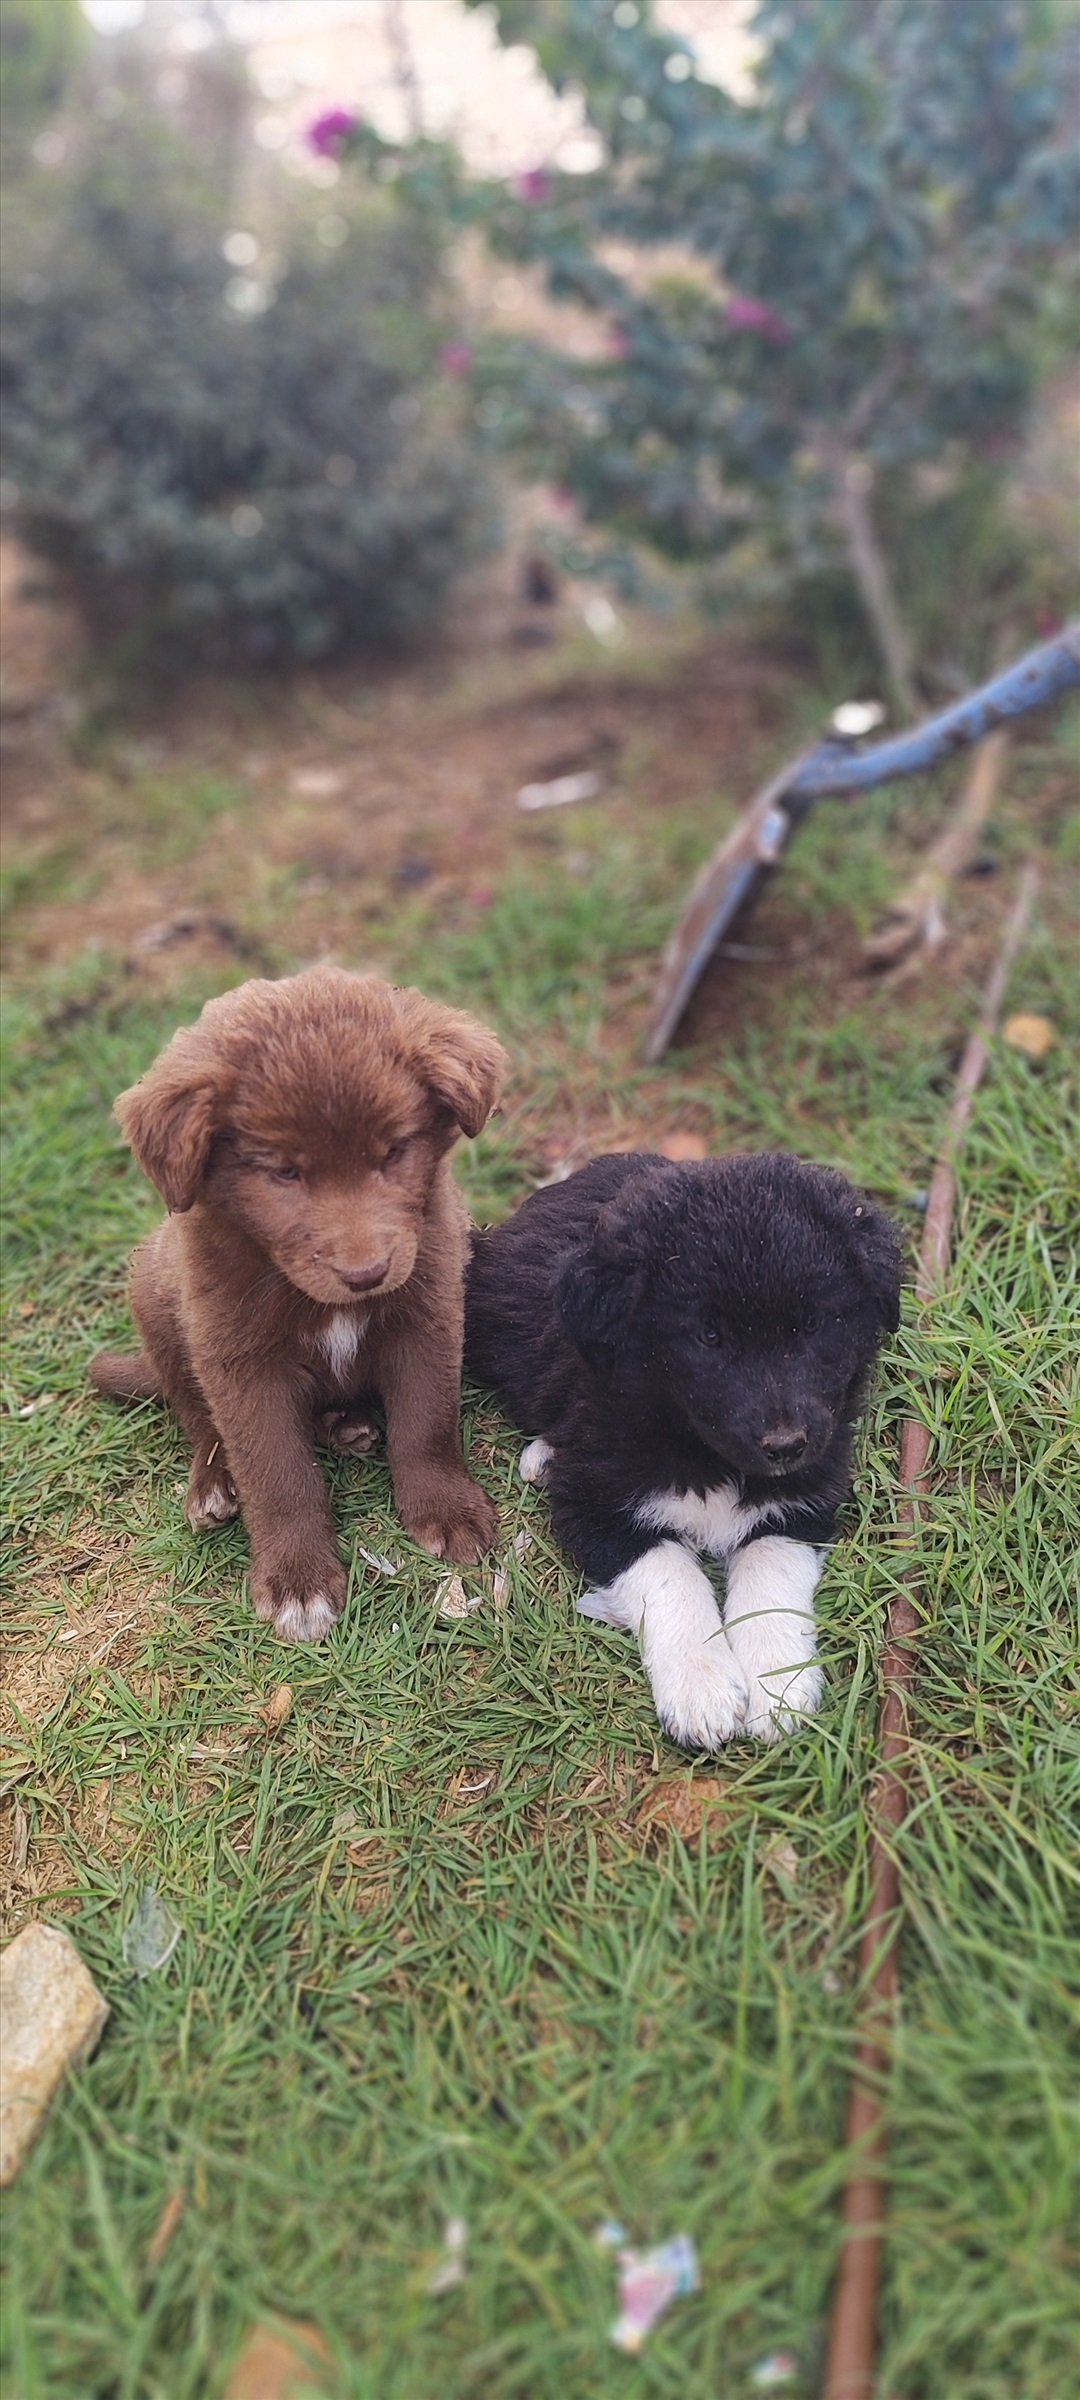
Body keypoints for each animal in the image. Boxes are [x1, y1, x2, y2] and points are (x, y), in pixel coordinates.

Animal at [90, 964, 508, 1641]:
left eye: (394, 1150)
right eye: (284, 1172)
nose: (366, 1274)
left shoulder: (429, 1309)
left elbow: (427, 1420)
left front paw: (447, 1509)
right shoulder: (238, 1358)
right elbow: (275, 1470)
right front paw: (298, 1581)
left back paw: (345, 1425)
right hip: (153, 1296)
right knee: (196, 1415)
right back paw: (214, 1483)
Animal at [468, 1152, 897, 1756]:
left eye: (813, 1325)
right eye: (709, 1337)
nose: (785, 1445)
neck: (703, 1451)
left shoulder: (807, 1493)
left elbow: (770, 1574)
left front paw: (778, 1685)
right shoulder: (598, 1505)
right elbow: (672, 1575)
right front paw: (702, 1689)